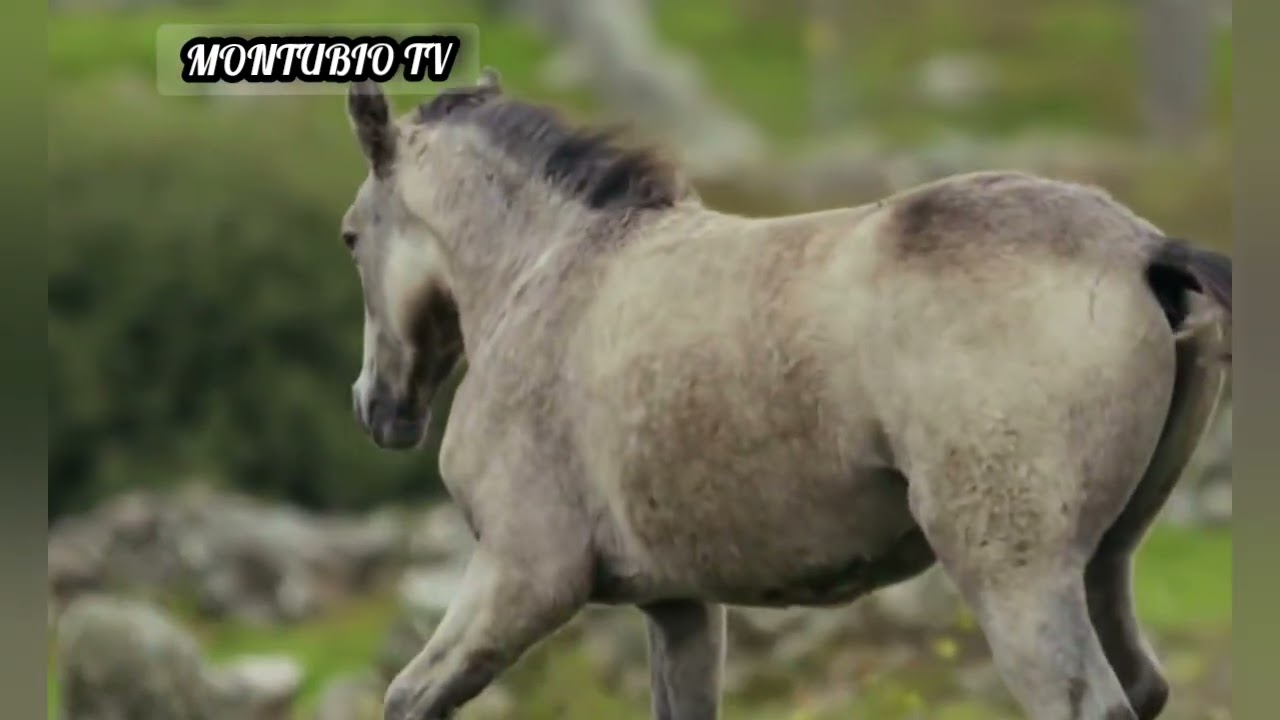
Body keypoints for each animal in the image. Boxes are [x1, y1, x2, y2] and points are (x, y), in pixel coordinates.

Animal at [337, 71, 1231, 720]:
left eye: (349, 236)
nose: (377, 409)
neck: (552, 274)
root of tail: (1144, 251)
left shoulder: (522, 576)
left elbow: (408, 698)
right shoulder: (680, 607)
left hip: (1019, 583)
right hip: (1106, 561)